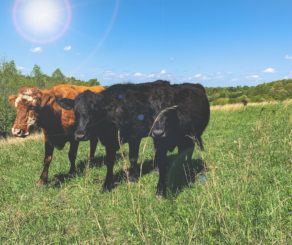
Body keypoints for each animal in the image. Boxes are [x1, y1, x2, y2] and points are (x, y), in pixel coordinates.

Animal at [56, 81, 210, 196]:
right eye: (75, 111)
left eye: (95, 110)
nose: (79, 135)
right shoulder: (110, 142)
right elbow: (110, 162)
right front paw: (107, 184)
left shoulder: (134, 137)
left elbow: (133, 157)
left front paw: (133, 177)